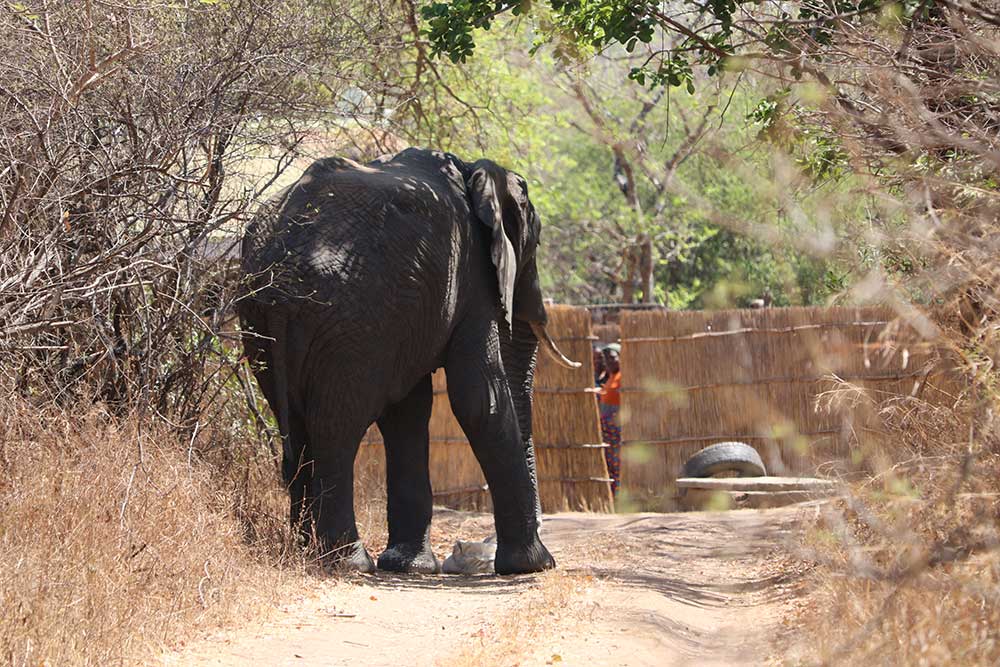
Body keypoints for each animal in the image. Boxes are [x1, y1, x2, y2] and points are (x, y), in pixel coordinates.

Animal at [236, 146, 580, 576]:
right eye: (534, 245)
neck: (473, 171)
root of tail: (279, 271)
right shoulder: (469, 277)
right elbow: (478, 399)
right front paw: (534, 565)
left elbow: (409, 411)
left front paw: (408, 566)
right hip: (351, 321)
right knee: (337, 426)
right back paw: (349, 561)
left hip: (262, 324)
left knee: (296, 428)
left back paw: (307, 550)